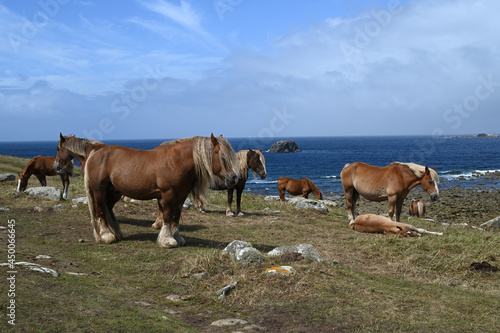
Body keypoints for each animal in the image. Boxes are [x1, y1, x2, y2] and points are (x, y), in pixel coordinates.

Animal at [84, 134, 240, 246]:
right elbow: (167, 216)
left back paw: (116, 233)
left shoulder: (181, 196)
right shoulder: (168, 195)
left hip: (114, 192)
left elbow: (176, 217)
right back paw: (106, 236)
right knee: (100, 211)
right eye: (222, 156)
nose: (234, 178)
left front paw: (177, 237)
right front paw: (167, 240)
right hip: (99, 190)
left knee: (108, 209)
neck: (177, 162)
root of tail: (95, 154)